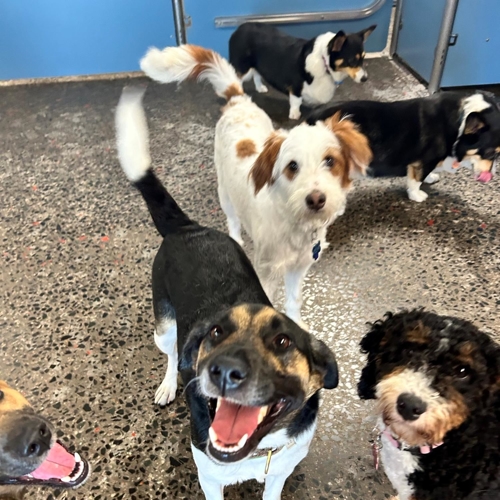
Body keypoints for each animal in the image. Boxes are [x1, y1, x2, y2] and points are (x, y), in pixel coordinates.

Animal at [115, 86, 339, 500]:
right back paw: (168, 384)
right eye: (216, 332)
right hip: (163, 326)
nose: (223, 372)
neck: (258, 450)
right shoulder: (209, 478)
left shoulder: (280, 472)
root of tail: (188, 227)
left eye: (283, 341)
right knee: (171, 354)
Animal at [140, 44, 372, 325]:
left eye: (330, 161)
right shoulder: (266, 273)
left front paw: (296, 322)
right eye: (292, 166)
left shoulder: (299, 267)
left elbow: (294, 300)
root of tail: (238, 100)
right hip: (224, 193)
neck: (293, 223)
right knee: (232, 221)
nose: (316, 199)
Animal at [228, 22, 376, 120]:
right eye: (351, 60)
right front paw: (295, 114)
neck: (324, 62)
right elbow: (296, 101)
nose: (365, 78)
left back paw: (260, 88)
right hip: (243, 68)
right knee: (237, 79)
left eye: (363, 58)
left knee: (257, 74)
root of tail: (240, 28)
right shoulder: (295, 87)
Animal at [307, 92, 500, 202]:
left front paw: (431, 177)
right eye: (491, 153)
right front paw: (417, 196)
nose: (492, 175)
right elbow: (416, 181)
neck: (460, 121)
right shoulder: (422, 162)